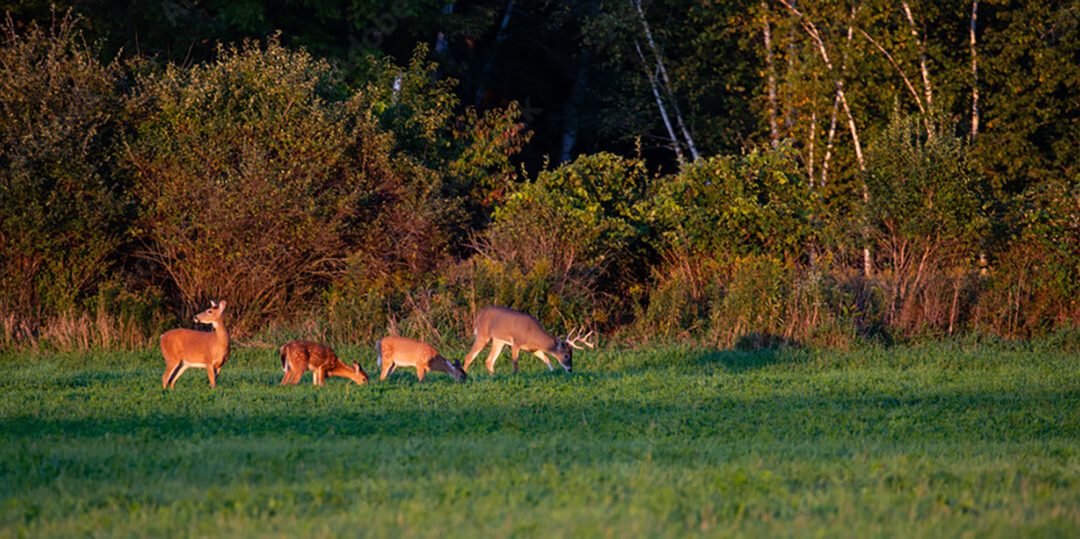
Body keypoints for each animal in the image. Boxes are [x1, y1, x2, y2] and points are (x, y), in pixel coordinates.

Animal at [462, 306, 595, 374]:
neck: (533, 334)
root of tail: (478, 314)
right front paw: (515, 376)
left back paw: (493, 376)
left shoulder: (533, 349)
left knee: (489, 360)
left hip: (498, 340)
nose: (570, 370)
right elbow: (515, 363)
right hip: (483, 335)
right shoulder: (516, 342)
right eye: (566, 355)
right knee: (469, 356)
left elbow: (547, 359)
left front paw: (552, 372)